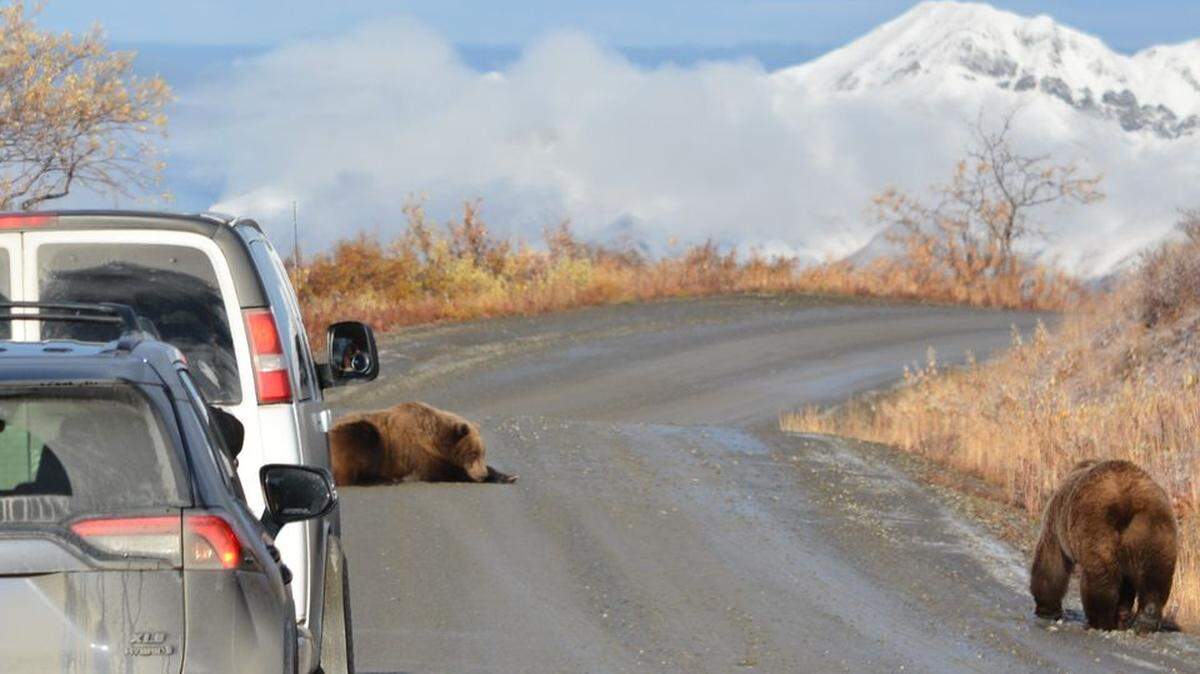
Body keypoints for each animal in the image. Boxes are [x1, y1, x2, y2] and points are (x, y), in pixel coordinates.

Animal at [329, 401, 517, 486]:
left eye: (483, 453)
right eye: (473, 453)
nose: (482, 474)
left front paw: (508, 475)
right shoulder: (416, 454)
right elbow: (445, 471)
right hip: (361, 436)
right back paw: (386, 479)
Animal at [1030, 459, 1178, 633]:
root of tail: (1126, 500)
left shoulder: (1055, 522)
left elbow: (1052, 562)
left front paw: (1047, 609)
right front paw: (1122, 616)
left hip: (1096, 526)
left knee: (1101, 575)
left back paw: (1100, 621)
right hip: (1154, 526)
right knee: (1155, 573)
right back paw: (1145, 620)